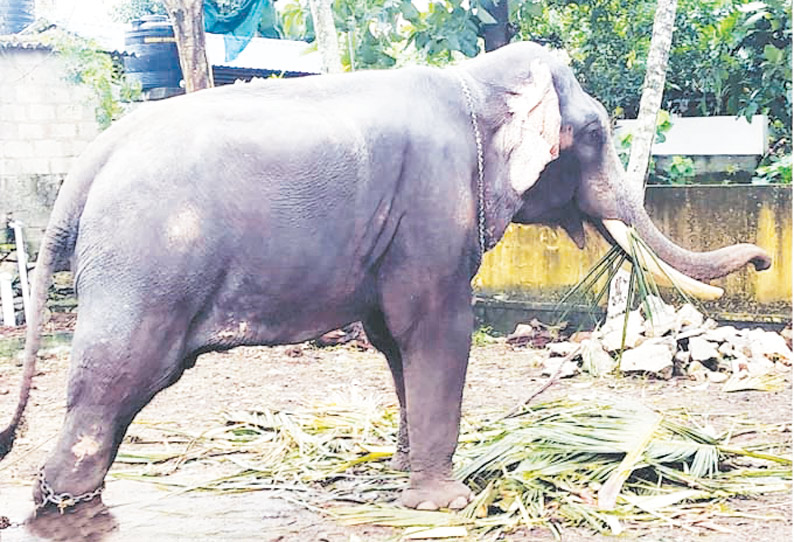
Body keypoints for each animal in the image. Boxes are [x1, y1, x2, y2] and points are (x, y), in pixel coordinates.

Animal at [0, 40, 768, 512]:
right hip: (147, 265)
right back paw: (63, 501)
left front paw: (403, 474)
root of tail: (90, 163)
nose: (762, 259)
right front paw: (447, 504)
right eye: (599, 134)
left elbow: (394, 340)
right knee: (118, 372)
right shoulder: (433, 204)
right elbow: (437, 326)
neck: (475, 76)